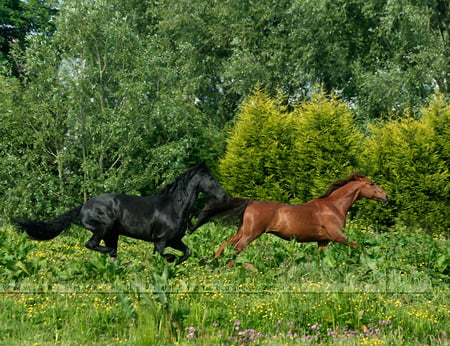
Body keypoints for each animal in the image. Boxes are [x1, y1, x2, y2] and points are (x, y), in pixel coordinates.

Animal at [11, 162, 225, 262]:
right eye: (211, 179)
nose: (223, 195)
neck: (173, 207)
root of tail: (83, 207)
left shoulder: (174, 240)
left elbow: (187, 252)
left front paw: (175, 261)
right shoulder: (161, 241)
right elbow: (160, 257)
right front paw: (170, 260)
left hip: (112, 234)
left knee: (109, 253)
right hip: (103, 229)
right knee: (92, 245)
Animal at [190, 172, 386, 264]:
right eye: (372, 184)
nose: (386, 197)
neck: (334, 206)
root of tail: (251, 203)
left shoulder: (323, 240)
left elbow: (322, 258)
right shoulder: (337, 235)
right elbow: (358, 246)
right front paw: (371, 258)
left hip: (243, 231)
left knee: (226, 243)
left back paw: (213, 262)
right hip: (251, 234)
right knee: (236, 248)